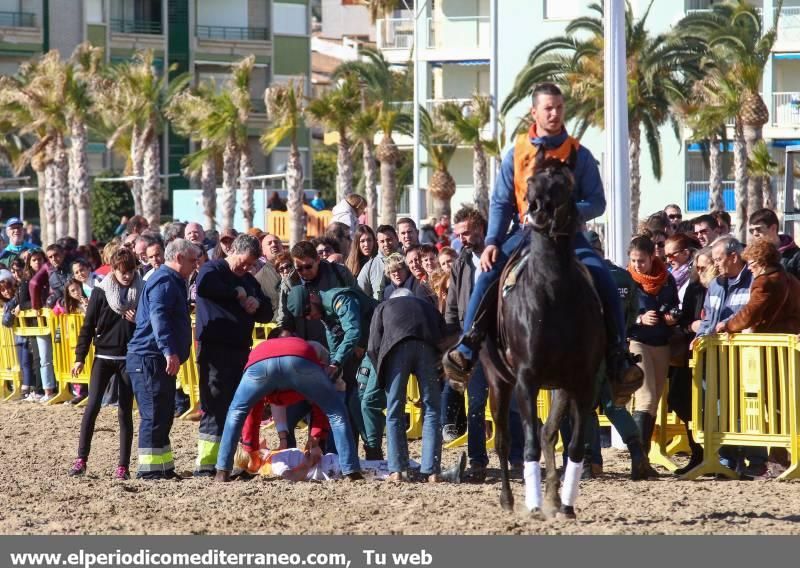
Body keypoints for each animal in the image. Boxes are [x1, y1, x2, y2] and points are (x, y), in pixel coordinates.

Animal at [476, 156, 608, 520]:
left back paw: (553, 498)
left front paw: (565, 505)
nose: (536, 210)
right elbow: (529, 443)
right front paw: (534, 504)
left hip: (560, 386)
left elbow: (573, 446)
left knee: (549, 433)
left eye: (563, 184)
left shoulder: (584, 381)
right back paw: (510, 499)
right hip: (498, 382)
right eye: (531, 180)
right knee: (505, 441)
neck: (552, 292)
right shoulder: (526, 379)